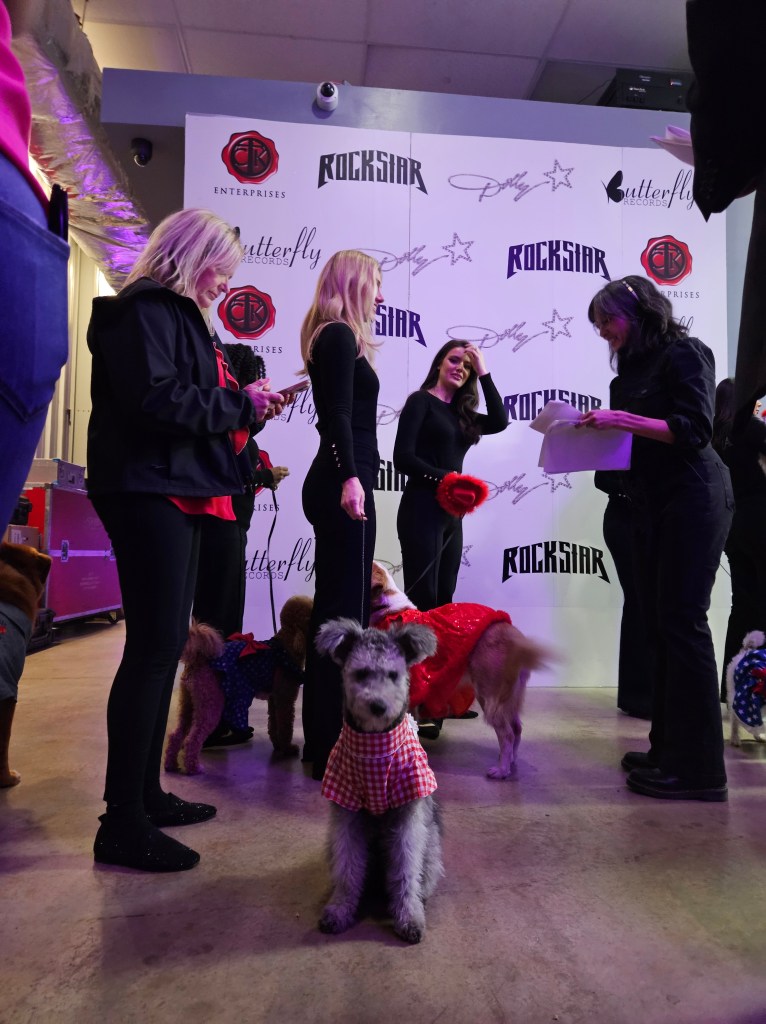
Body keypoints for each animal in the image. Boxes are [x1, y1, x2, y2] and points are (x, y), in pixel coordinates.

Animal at [164, 594, 313, 774]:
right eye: (311, 610)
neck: (287, 644)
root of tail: (198, 660)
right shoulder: (285, 699)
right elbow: (285, 726)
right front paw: (288, 749)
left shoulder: (274, 699)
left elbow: (274, 724)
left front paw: (278, 745)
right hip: (210, 704)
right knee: (193, 738)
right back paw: (194, 767)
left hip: (188, 702)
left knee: (176, 734)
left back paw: (171, 765)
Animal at [315, 616, 443, 944]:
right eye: (360, 673)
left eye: (393, 675)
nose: (378, 706)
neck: (374, 748)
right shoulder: (346, 812)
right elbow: (348, 867)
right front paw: (340, 908)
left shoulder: (408, 814)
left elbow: (405, 868)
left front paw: (408, 914)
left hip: (431, 844)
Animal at [370, 562, 552, 779]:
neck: (389, 610)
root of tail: (516, 638)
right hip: (510, 697)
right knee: (516, 728)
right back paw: (511, 761)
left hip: (490, 695)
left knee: (507, 733)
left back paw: (501, 769)